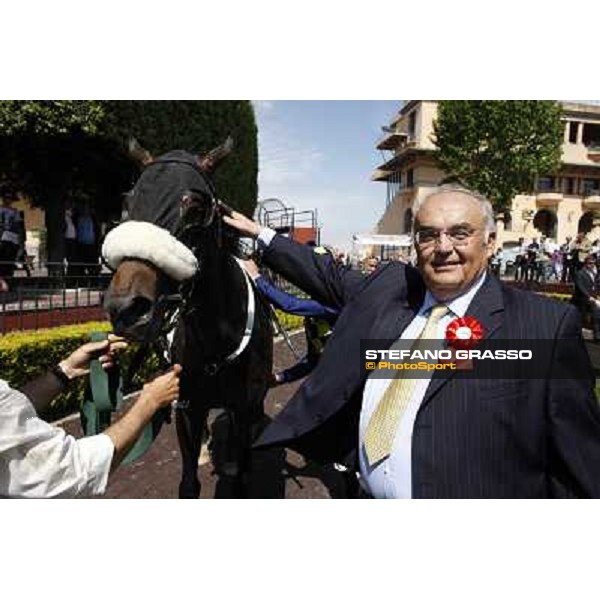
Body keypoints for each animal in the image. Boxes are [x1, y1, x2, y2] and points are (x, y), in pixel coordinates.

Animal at [102, 139, 272, 496]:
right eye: (127, 203)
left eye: (195, 205)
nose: (125, 308)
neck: (216, 347)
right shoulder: (188, 406)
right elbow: (189, 481)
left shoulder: (243, 405)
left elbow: (241, 469)